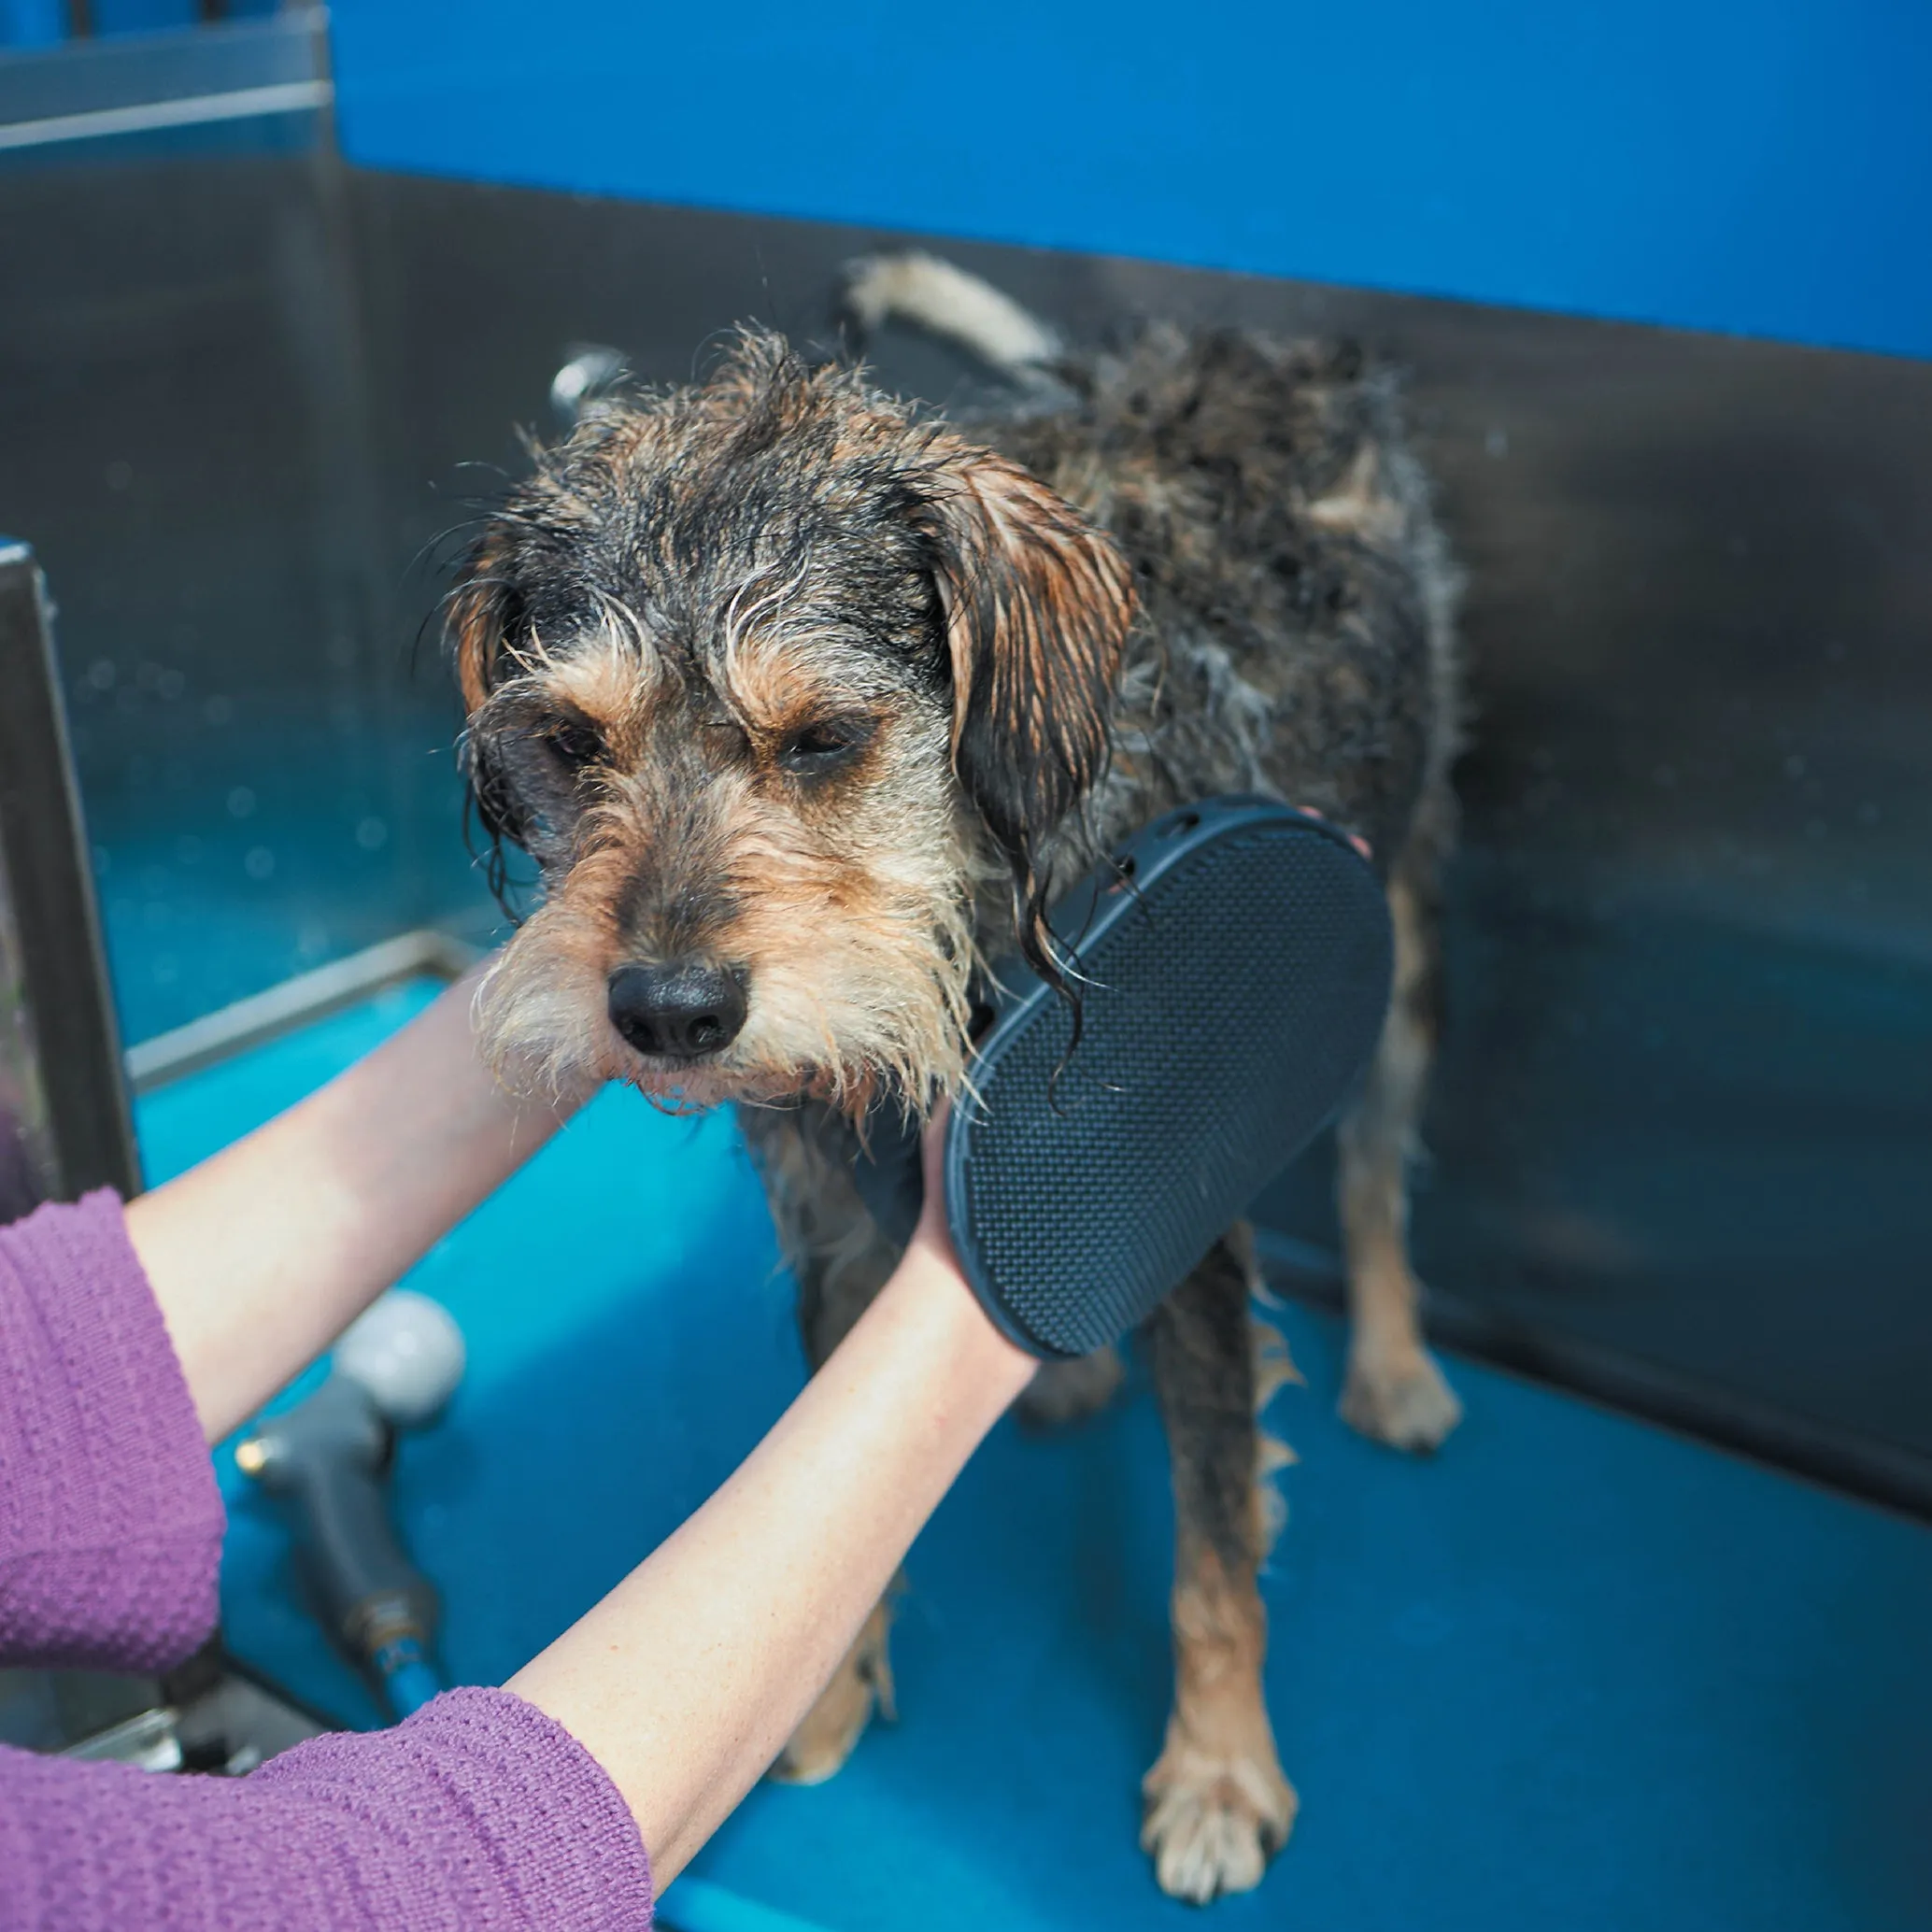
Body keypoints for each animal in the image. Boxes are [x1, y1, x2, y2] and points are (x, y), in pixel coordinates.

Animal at [451, 257, 1460, 1900]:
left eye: (824, 739)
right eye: (568, 741)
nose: (667, 1009)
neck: (963, 912)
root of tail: (1262, 350)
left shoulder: (1187, 1229)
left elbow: (1216, 1542)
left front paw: (1220, 1770)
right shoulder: (833, 1226)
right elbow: (818, 1501)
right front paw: (820, 1700)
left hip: (1407, 929)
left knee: (1376, 1178)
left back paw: (1395, 1360)